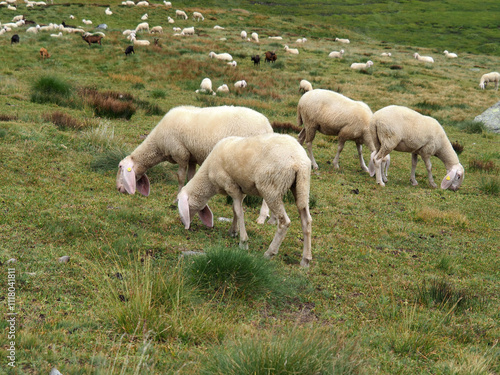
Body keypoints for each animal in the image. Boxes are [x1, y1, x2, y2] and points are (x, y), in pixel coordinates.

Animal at [116, 106, 274, 223]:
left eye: (120, 168)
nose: (118, 188)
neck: (157, 145)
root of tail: (268, 126)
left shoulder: (181, 154)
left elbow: (180, 177)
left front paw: (176, 198)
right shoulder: (191, 158)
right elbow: (190, 177)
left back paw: (261, 217)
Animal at [178, 134, 314, 268]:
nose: (182, 223)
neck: (208, 178)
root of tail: (300, 162)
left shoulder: (231, 185)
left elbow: (239, 212)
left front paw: (243, 242)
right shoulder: (240, 189)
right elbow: (234, 210)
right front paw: (233, 231)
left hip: (271, 188)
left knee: (284, 222)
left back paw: (269, 253)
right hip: (301, 187)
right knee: (306, 220)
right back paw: (305, 260)